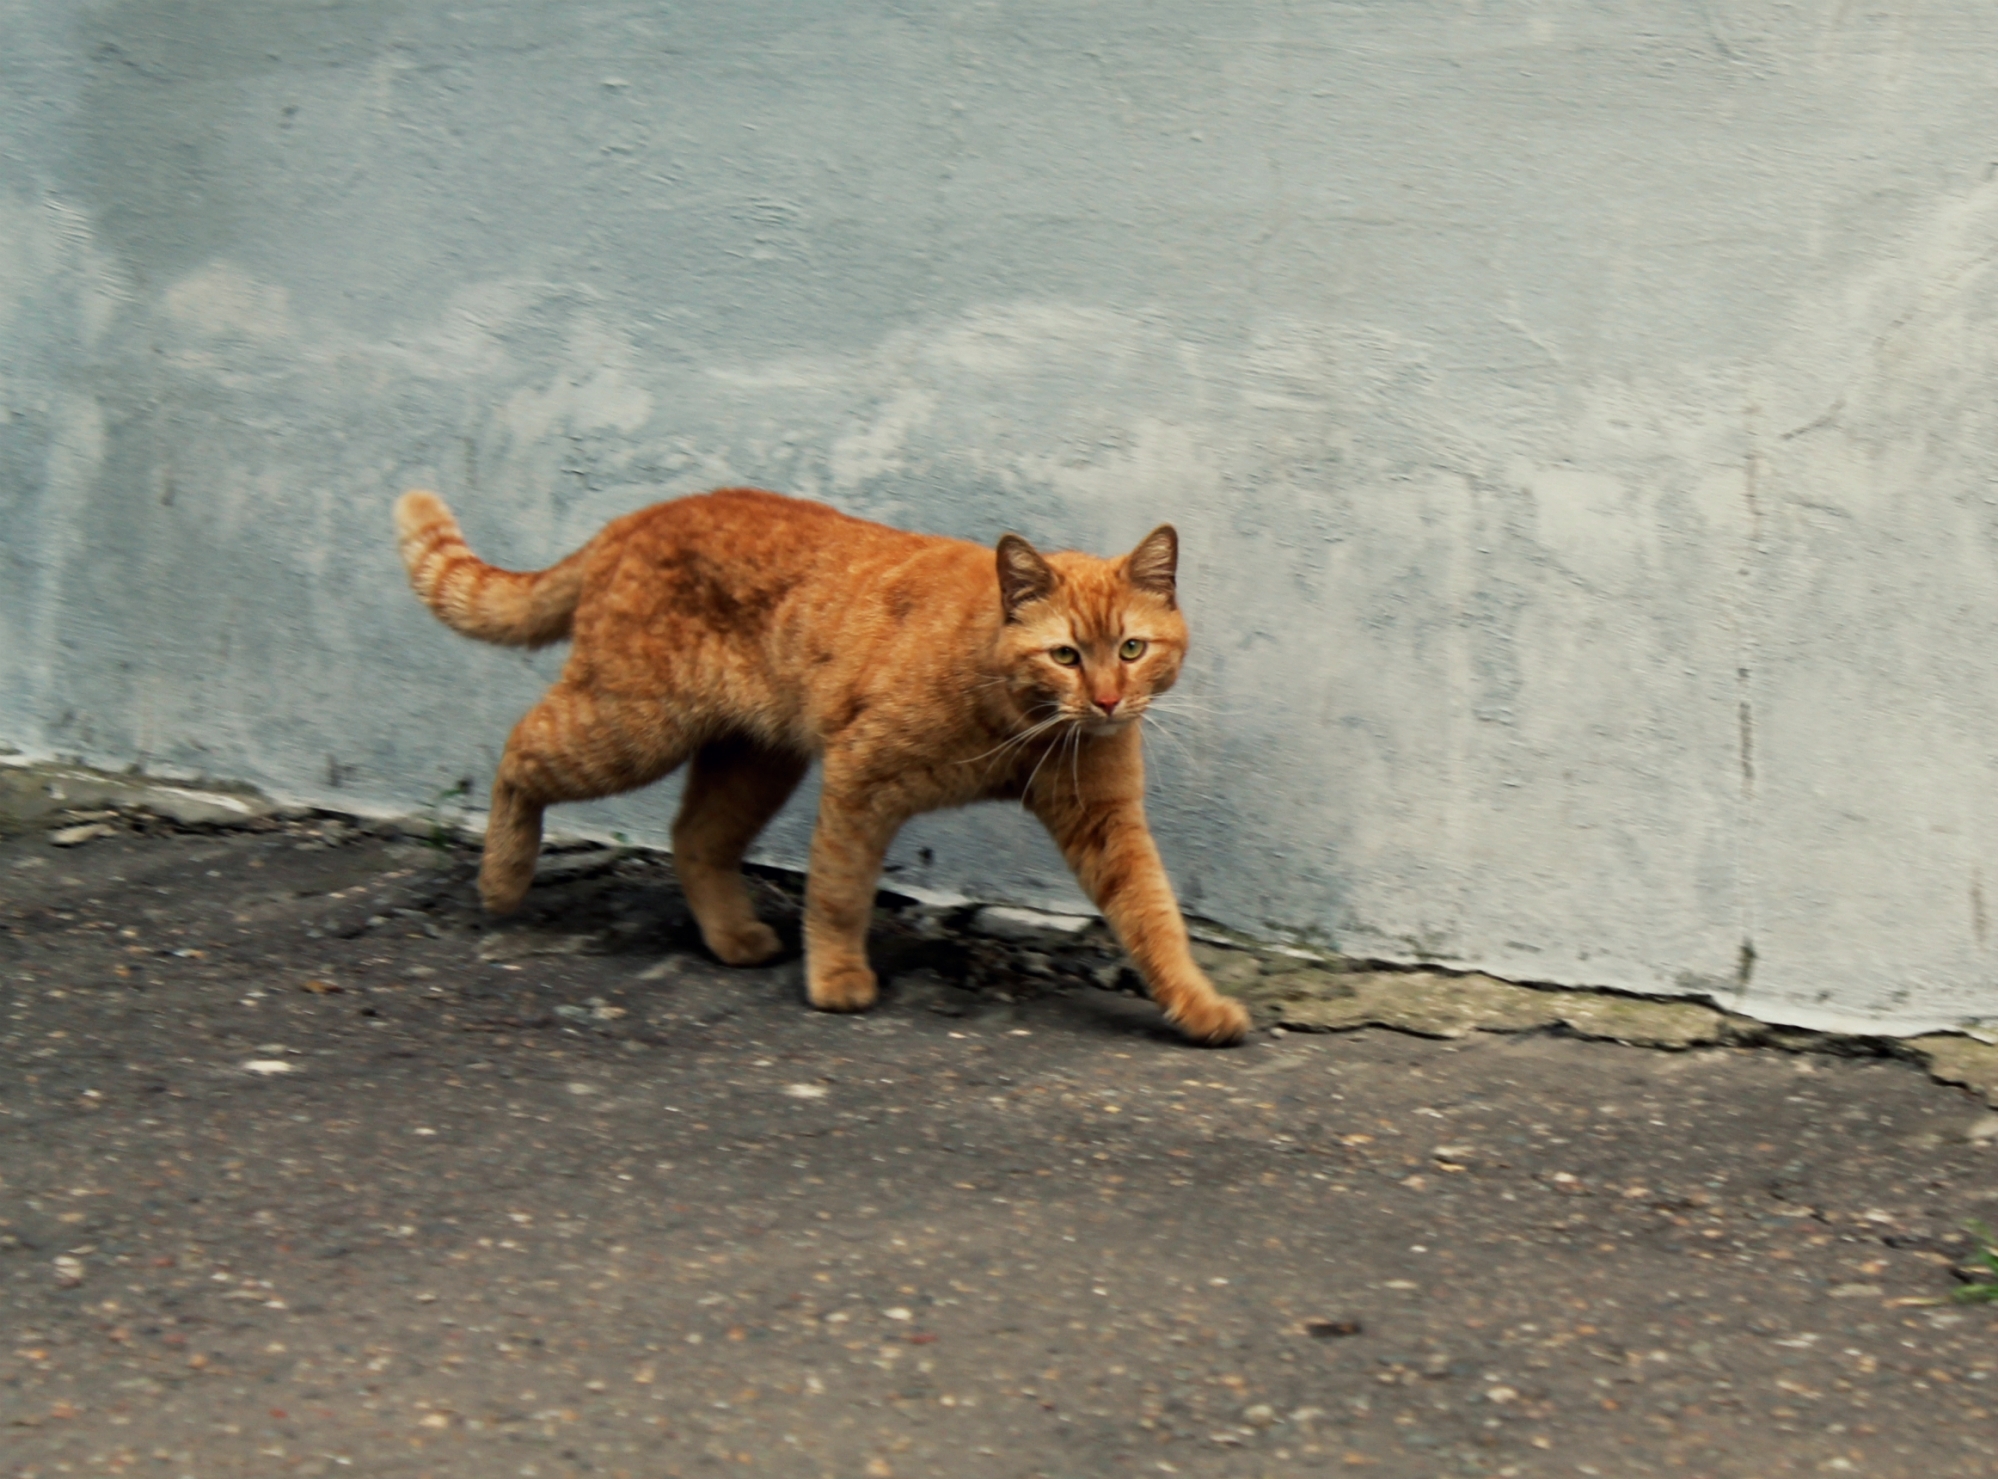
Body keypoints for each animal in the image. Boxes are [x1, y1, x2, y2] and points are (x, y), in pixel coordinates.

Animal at [389, 485, 1246, 1039]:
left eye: (1131, 648)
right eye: (1066, 654)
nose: (1105, 701)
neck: (1024, 722)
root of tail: (629, 519)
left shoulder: (1106, 821)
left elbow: (1154, 919)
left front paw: (1198, 1006)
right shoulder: (860, 779)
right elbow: (837, 890)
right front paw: (835, 978)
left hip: (752, 759)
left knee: (694, 836)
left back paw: (734, 937)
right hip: (627, 727)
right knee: (517, 751)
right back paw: (502, 880)